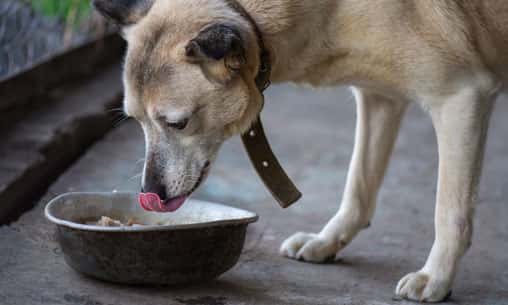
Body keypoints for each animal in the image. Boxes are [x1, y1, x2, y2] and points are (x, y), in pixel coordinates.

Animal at [92, 0, 508, 300]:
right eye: (136, 120)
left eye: (177, 123)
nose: (150, 194)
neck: (329, 12)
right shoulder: (379, 99)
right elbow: (358, 187)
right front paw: (326, 242)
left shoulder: (461, 98)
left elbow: (449, 213)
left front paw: (435, 278)